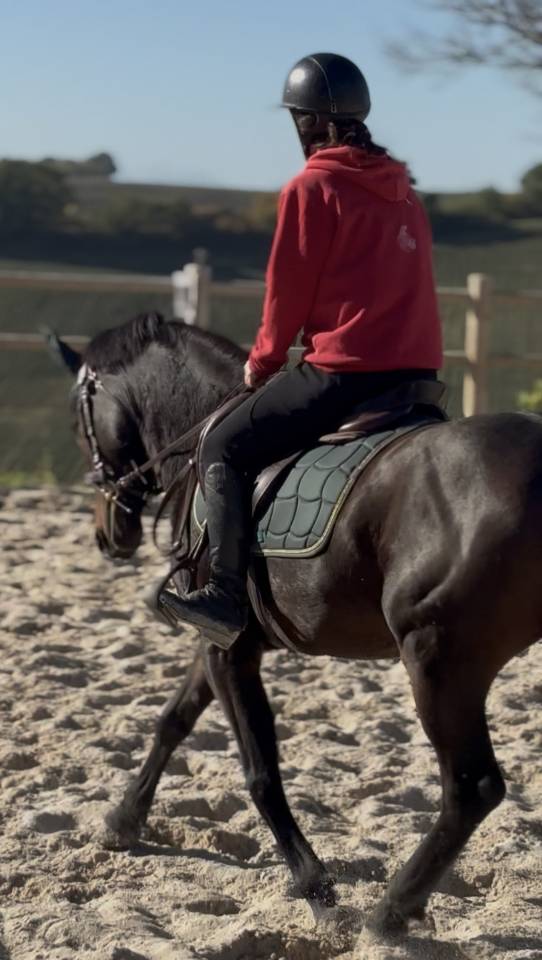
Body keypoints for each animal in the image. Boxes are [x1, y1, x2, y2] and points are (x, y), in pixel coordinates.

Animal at [57, 311, 542, 936]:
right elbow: (174, 720)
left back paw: (391, 910)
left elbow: (259, 769)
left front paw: (316, 888)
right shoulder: (220, 639)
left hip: (439, 662)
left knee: (471, 787)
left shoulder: (230, 649)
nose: (108, 534)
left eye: (80, 424)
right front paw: (124, 819)